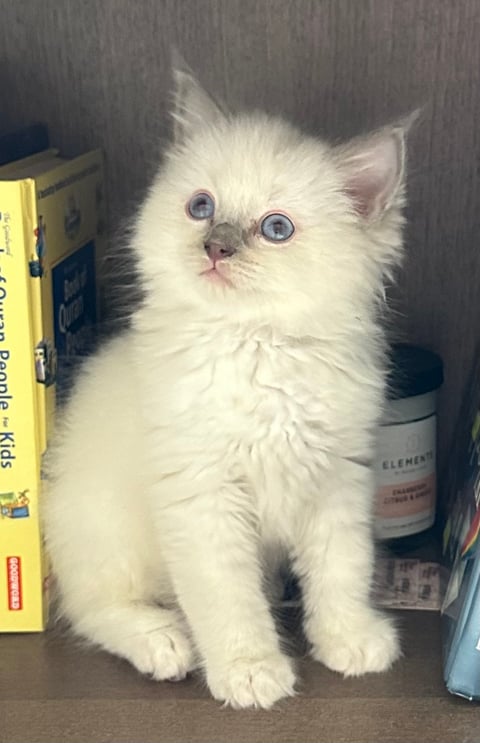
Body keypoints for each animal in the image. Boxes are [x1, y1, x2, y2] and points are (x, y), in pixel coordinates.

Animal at [43, 58, 408, 708]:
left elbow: (342, 574)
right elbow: (229, 603)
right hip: (108, 537)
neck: (258, 350)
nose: (216, 246)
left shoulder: (336, 483)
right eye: (201, 206)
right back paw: (164, 642)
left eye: (277, 228)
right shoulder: (204, 497)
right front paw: (251, 673)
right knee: (94, 611)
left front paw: (349, 641)